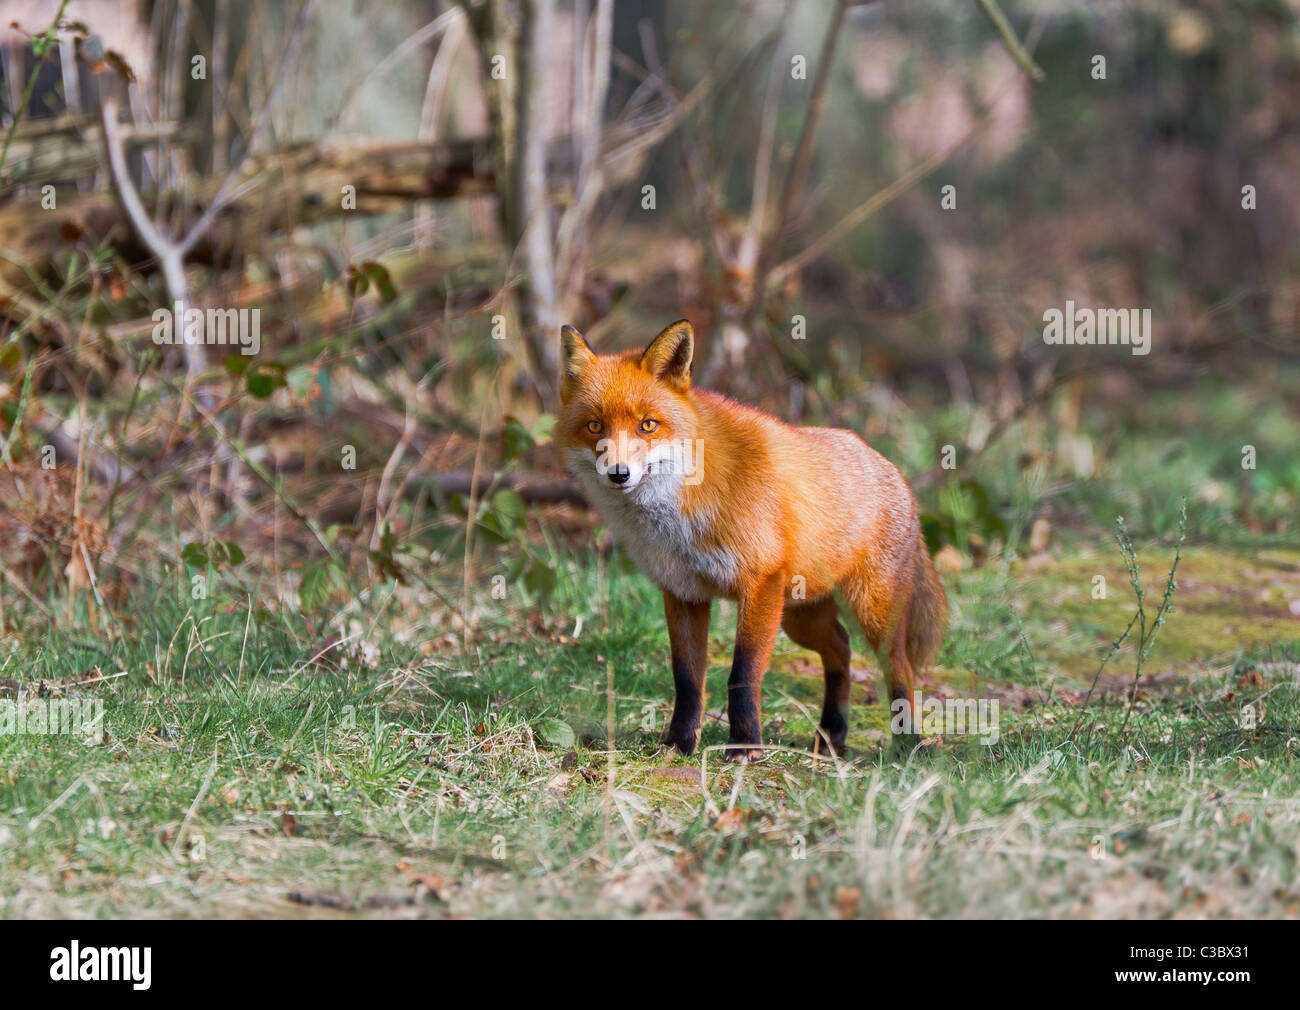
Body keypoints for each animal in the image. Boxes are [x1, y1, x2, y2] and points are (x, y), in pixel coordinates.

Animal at [557, 319, 947, 762]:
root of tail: (890, 467)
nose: (618, 473)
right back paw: (832, 735)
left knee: (900, 669)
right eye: (595, 426)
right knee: (841, 650)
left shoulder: (759, 585)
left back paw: (908, 743)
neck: (683, 512)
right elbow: (687, 680)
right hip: (800, 616)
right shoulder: (684, 593)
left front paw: (744, 745)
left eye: (648, 425)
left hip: (871, 611)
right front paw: (679, 743)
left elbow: (741, 675)